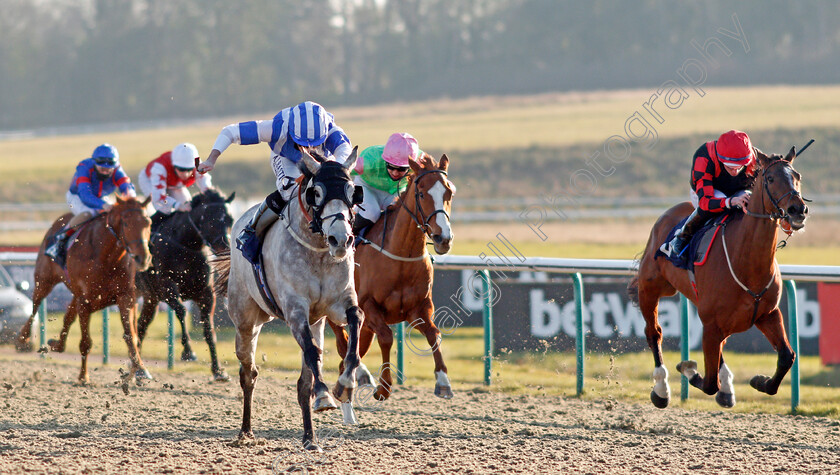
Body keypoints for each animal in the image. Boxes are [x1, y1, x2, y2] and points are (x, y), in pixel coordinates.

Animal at [16, 195, 153, 388]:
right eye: (126, 223)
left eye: (148, 222)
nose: (143, 258)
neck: (106, 256)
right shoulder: (85, 301)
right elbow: (85, 342)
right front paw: (83, 377)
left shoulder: (125, 297)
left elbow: (131, 336)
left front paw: (140, 370)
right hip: (44, 280)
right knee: (35, 305)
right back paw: (23, 337)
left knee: (67, 315)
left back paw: (57, 344)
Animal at [135, 188, 235, 382]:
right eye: (209, 218)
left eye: (230, 219)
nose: (224, 247)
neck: (185, 246)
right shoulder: (167, 287)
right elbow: (182, 311)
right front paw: (188, 352)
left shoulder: (206, 293)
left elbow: (209, 329)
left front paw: (218, 370)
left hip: (150, 299)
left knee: (141, 327)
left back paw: (139, 369)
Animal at [213, 148, 364, 450]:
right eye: (316, 192)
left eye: (352, 191)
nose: (340, 239)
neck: (317, 252)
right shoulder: (295, 311)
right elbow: (312, 353)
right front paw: (324, 394)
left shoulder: (338, 303)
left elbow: (355, 321)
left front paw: (345, 384)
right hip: (246, 321)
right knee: (248, 373)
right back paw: (245, 431)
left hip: (315, 323)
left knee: (302, 380)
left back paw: (309, 438)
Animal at [330, 152, 460, 402]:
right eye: (422, 194)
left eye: (449, 192)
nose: (443, 239)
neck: (400, 258)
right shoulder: (368, 306)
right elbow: (387, 337)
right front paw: (383, 387)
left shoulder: (419, 308)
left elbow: (434, 334)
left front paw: (443, 382)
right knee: (344, 345)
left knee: (354, 349)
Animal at [632, 149, 808, 410]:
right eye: (770, 179)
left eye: (797, 176)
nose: (798, 210)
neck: (746, 262)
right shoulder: (712, 323)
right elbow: (708, 383)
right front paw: (688, 368)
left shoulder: (767, 314)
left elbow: (787, 356)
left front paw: (760, 381)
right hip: (650, 288)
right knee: (654, 332)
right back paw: (661, 390)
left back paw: (726, 388)